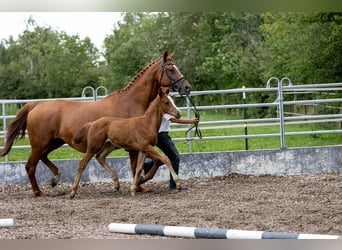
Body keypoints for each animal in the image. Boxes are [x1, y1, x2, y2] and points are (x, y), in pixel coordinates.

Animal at [0, 50, 191, 196]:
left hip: (54, 142)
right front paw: (138, 185)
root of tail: (36, 104)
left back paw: (55, 178)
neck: (131, 102)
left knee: (43, 157)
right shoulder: (134, 147)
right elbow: (137, 166)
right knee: (30, 165)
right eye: (171, 69)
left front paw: (139, 183)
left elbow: (152, 163)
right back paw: (39, 191)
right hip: (40, 143)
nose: (187, 87)